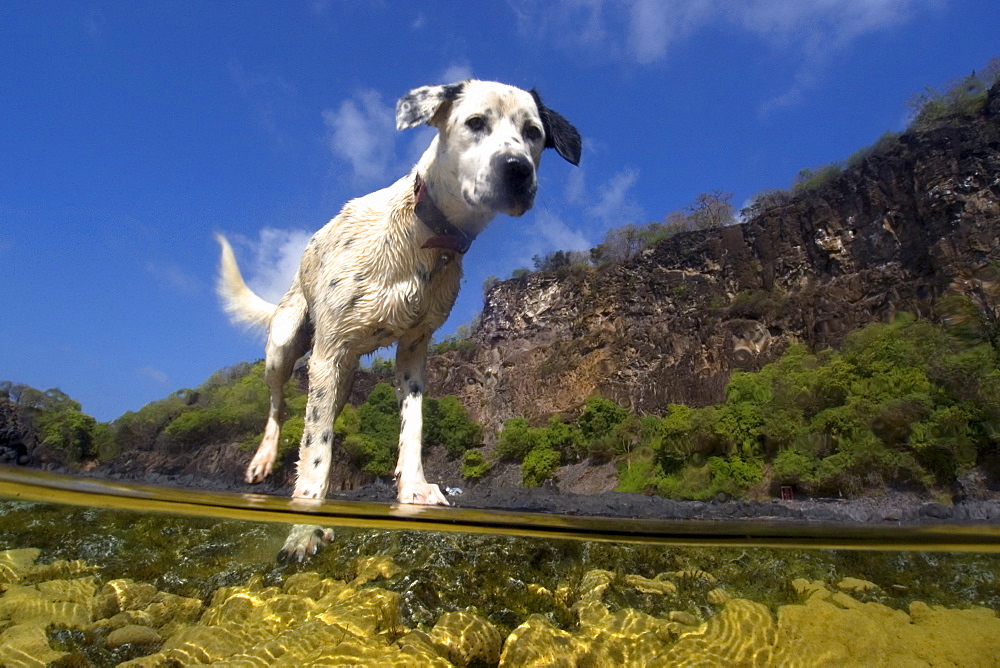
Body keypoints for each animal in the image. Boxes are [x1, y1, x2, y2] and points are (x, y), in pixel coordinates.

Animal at [215, 79, 584, 560]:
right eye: (475, 123)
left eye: (533, 133)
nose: (517, 169)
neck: (426, 236)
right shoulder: (329, 353)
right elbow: (315, 449)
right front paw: (304, 527)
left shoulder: (413, 352)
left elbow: (413, 427)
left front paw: (414, 489)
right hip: (286, 343)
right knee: (280, 406)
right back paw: (263, 457)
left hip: (343, 376)